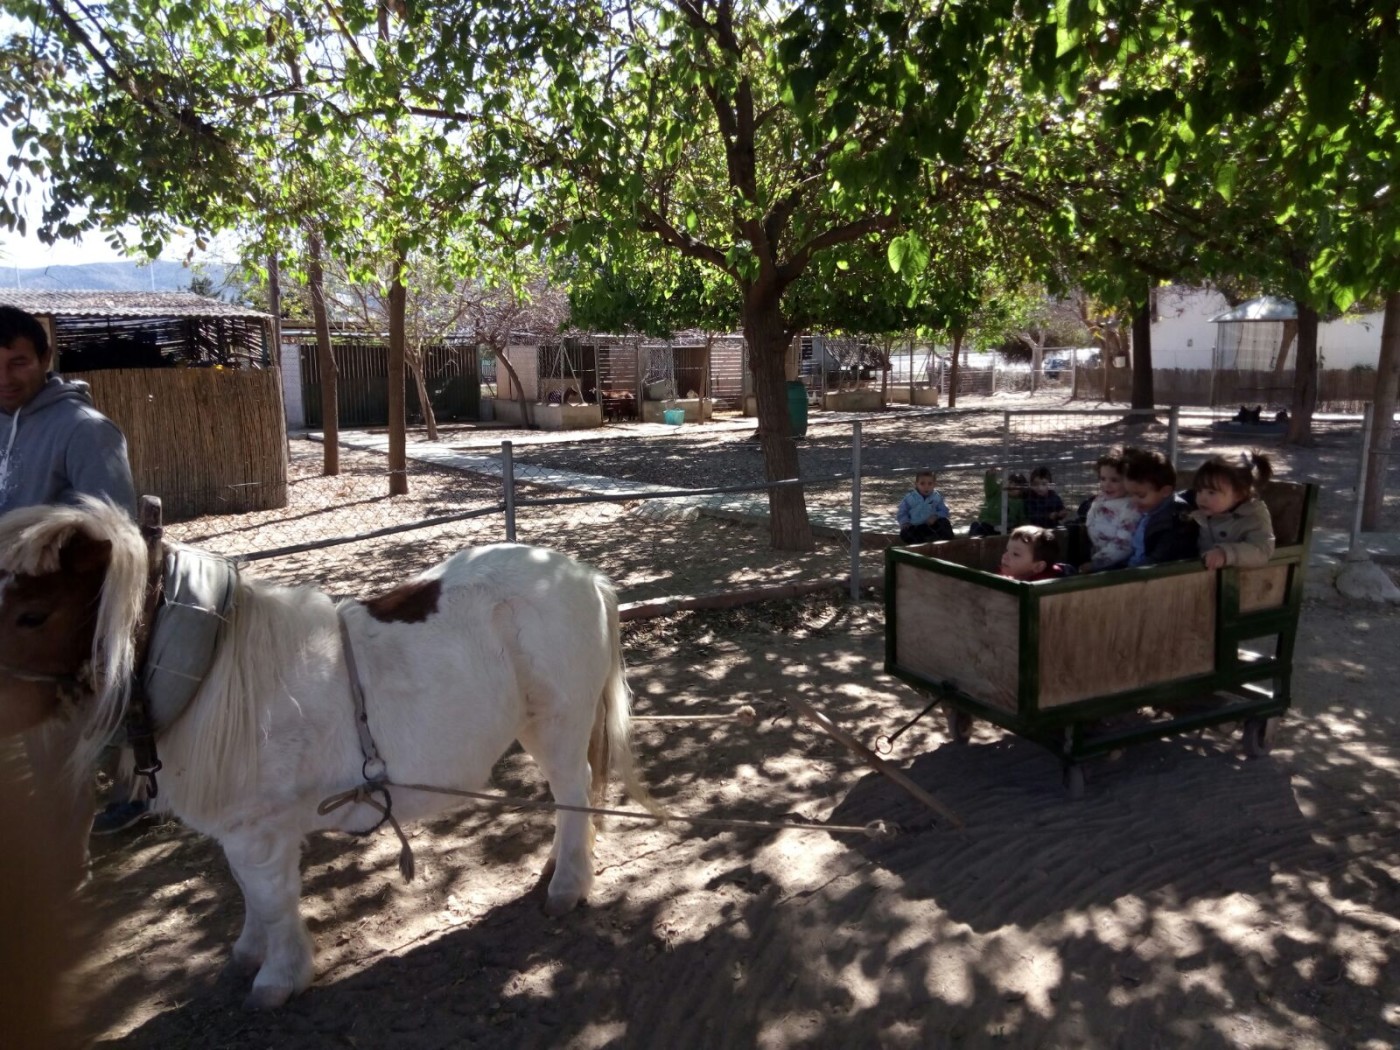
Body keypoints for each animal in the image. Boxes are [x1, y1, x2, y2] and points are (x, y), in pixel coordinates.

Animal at [0, 501, 655, 1013]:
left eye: (33, 614)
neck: (212, 673)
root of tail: (585, 575)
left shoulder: (259, 832)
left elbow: (271, 898)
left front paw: (277, 978)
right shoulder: (242, 831)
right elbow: (248, 893)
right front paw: (250, 953)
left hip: (559, 724)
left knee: (573, 792)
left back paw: (567, 885)